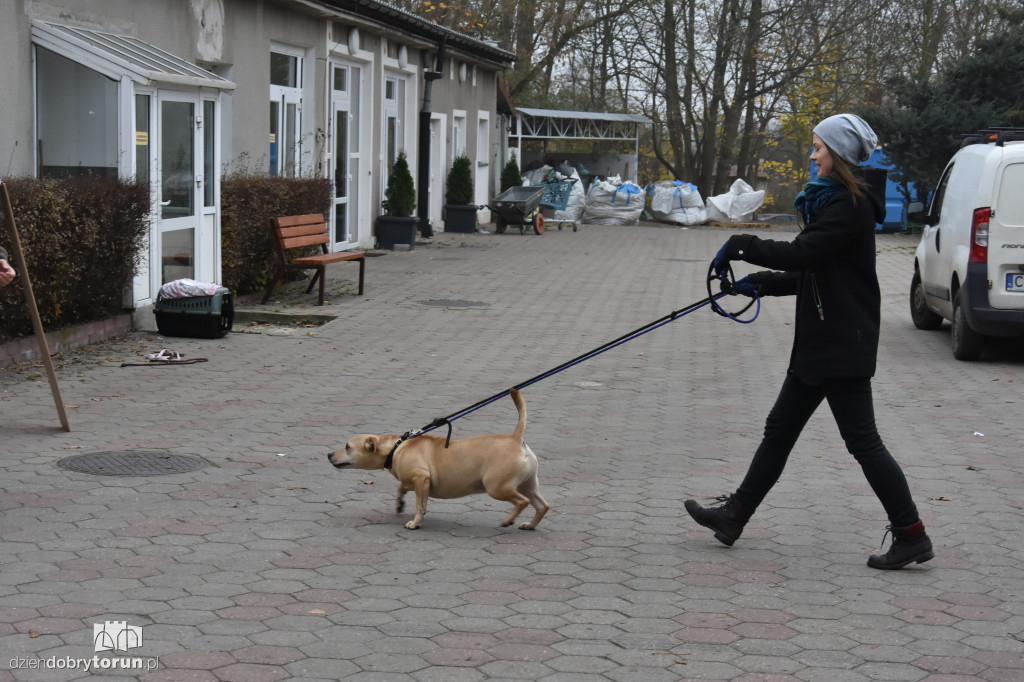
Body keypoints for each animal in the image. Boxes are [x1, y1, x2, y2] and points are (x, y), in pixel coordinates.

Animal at [331, 385, 548, 528]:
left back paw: (508, 520)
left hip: (497, 487)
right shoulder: (415, 481)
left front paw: (415, 522)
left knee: (523, 502)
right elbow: (403, 488)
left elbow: (419, 504)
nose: (328, 454)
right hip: (528, 485)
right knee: (542, 506)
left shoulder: (421, 478)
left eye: (347, 447)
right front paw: (400, 504)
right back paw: (529, 525)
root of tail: (515, 438)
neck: (396, 448)